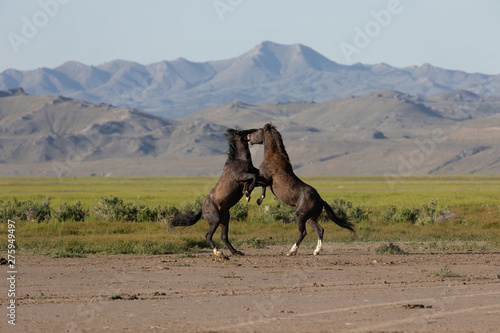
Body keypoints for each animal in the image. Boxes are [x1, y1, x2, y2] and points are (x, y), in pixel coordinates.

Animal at [246, 123, 356, 255]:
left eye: (258, 130)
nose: (248, 137)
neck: (273, 157)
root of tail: (320, 200)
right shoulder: (266, 182)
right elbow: (260, 187)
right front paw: (259, 199)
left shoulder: (266, 179)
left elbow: (253, 181)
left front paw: (247, 195)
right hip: (310, 219)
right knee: (320, 230)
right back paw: (316, 251)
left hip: (300, 216)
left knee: (303, 232)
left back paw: (291, 251)